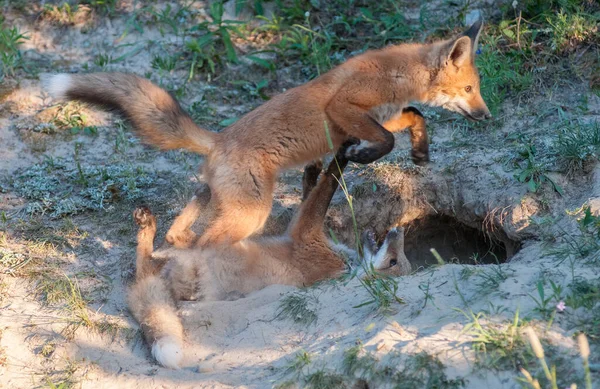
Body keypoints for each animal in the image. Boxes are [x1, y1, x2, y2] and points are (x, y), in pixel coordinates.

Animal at [44, 20, 490, 249]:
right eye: (470, 88)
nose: (486, 116)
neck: (396, 74)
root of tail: (219, 138)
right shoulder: (344, 108)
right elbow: (388, 138)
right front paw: (365, 156)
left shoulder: (379, 115)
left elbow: (414, 116)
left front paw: (421, 152)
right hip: (251, 212)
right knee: (203, 244)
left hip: (225, 202)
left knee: (179, 231)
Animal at [130, 144, 412, 368]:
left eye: (394, 262)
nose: (399, 230)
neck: (346, 265)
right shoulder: (302, 229)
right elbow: (313, 190)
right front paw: (313, 169)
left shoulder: (304, 232)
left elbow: (328, 183)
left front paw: (342, 154)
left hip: (207, 247)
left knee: (168, 240)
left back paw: (160, 218)